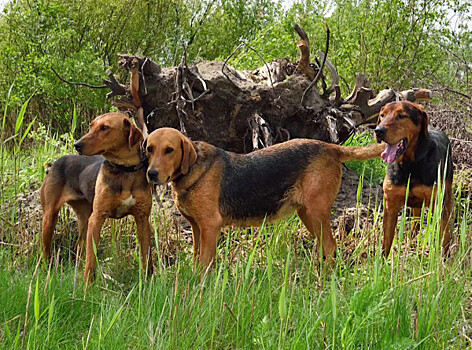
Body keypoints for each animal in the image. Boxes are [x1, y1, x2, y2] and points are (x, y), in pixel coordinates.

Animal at [40, 113, 153, 284]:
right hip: (50, 217)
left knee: (79, 246)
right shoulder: (97, 218)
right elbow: (91, 259)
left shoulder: (142, 219)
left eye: (105, 127)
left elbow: (146, 255)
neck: (124, 169)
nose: (77, 145)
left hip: (85, 217)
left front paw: (146, 281)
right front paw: (88, 286)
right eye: (91, 125)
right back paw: (46, 271)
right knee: (46, 249)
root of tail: (55, 163)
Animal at [144, 127, 384, 270]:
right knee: (324, 247)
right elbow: (197, 259)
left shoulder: (210, 226)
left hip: (316, 213)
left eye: (170, 150)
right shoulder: (196, 227)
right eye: (149, 149)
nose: (151, 174)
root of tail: (330, 147)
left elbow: (205, 263)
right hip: (308, 215)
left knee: (331, 246)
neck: (191, 169)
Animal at [374, 101, 452, 258]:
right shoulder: (390, 205)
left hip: (448, 196)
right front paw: (381, 262)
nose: (378, 131)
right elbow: (386, 241)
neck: (410, 164)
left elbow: (443, 238)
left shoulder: (438, 204)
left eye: (401, 116)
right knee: (416, 223)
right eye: (382, 115)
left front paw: (444, 260)